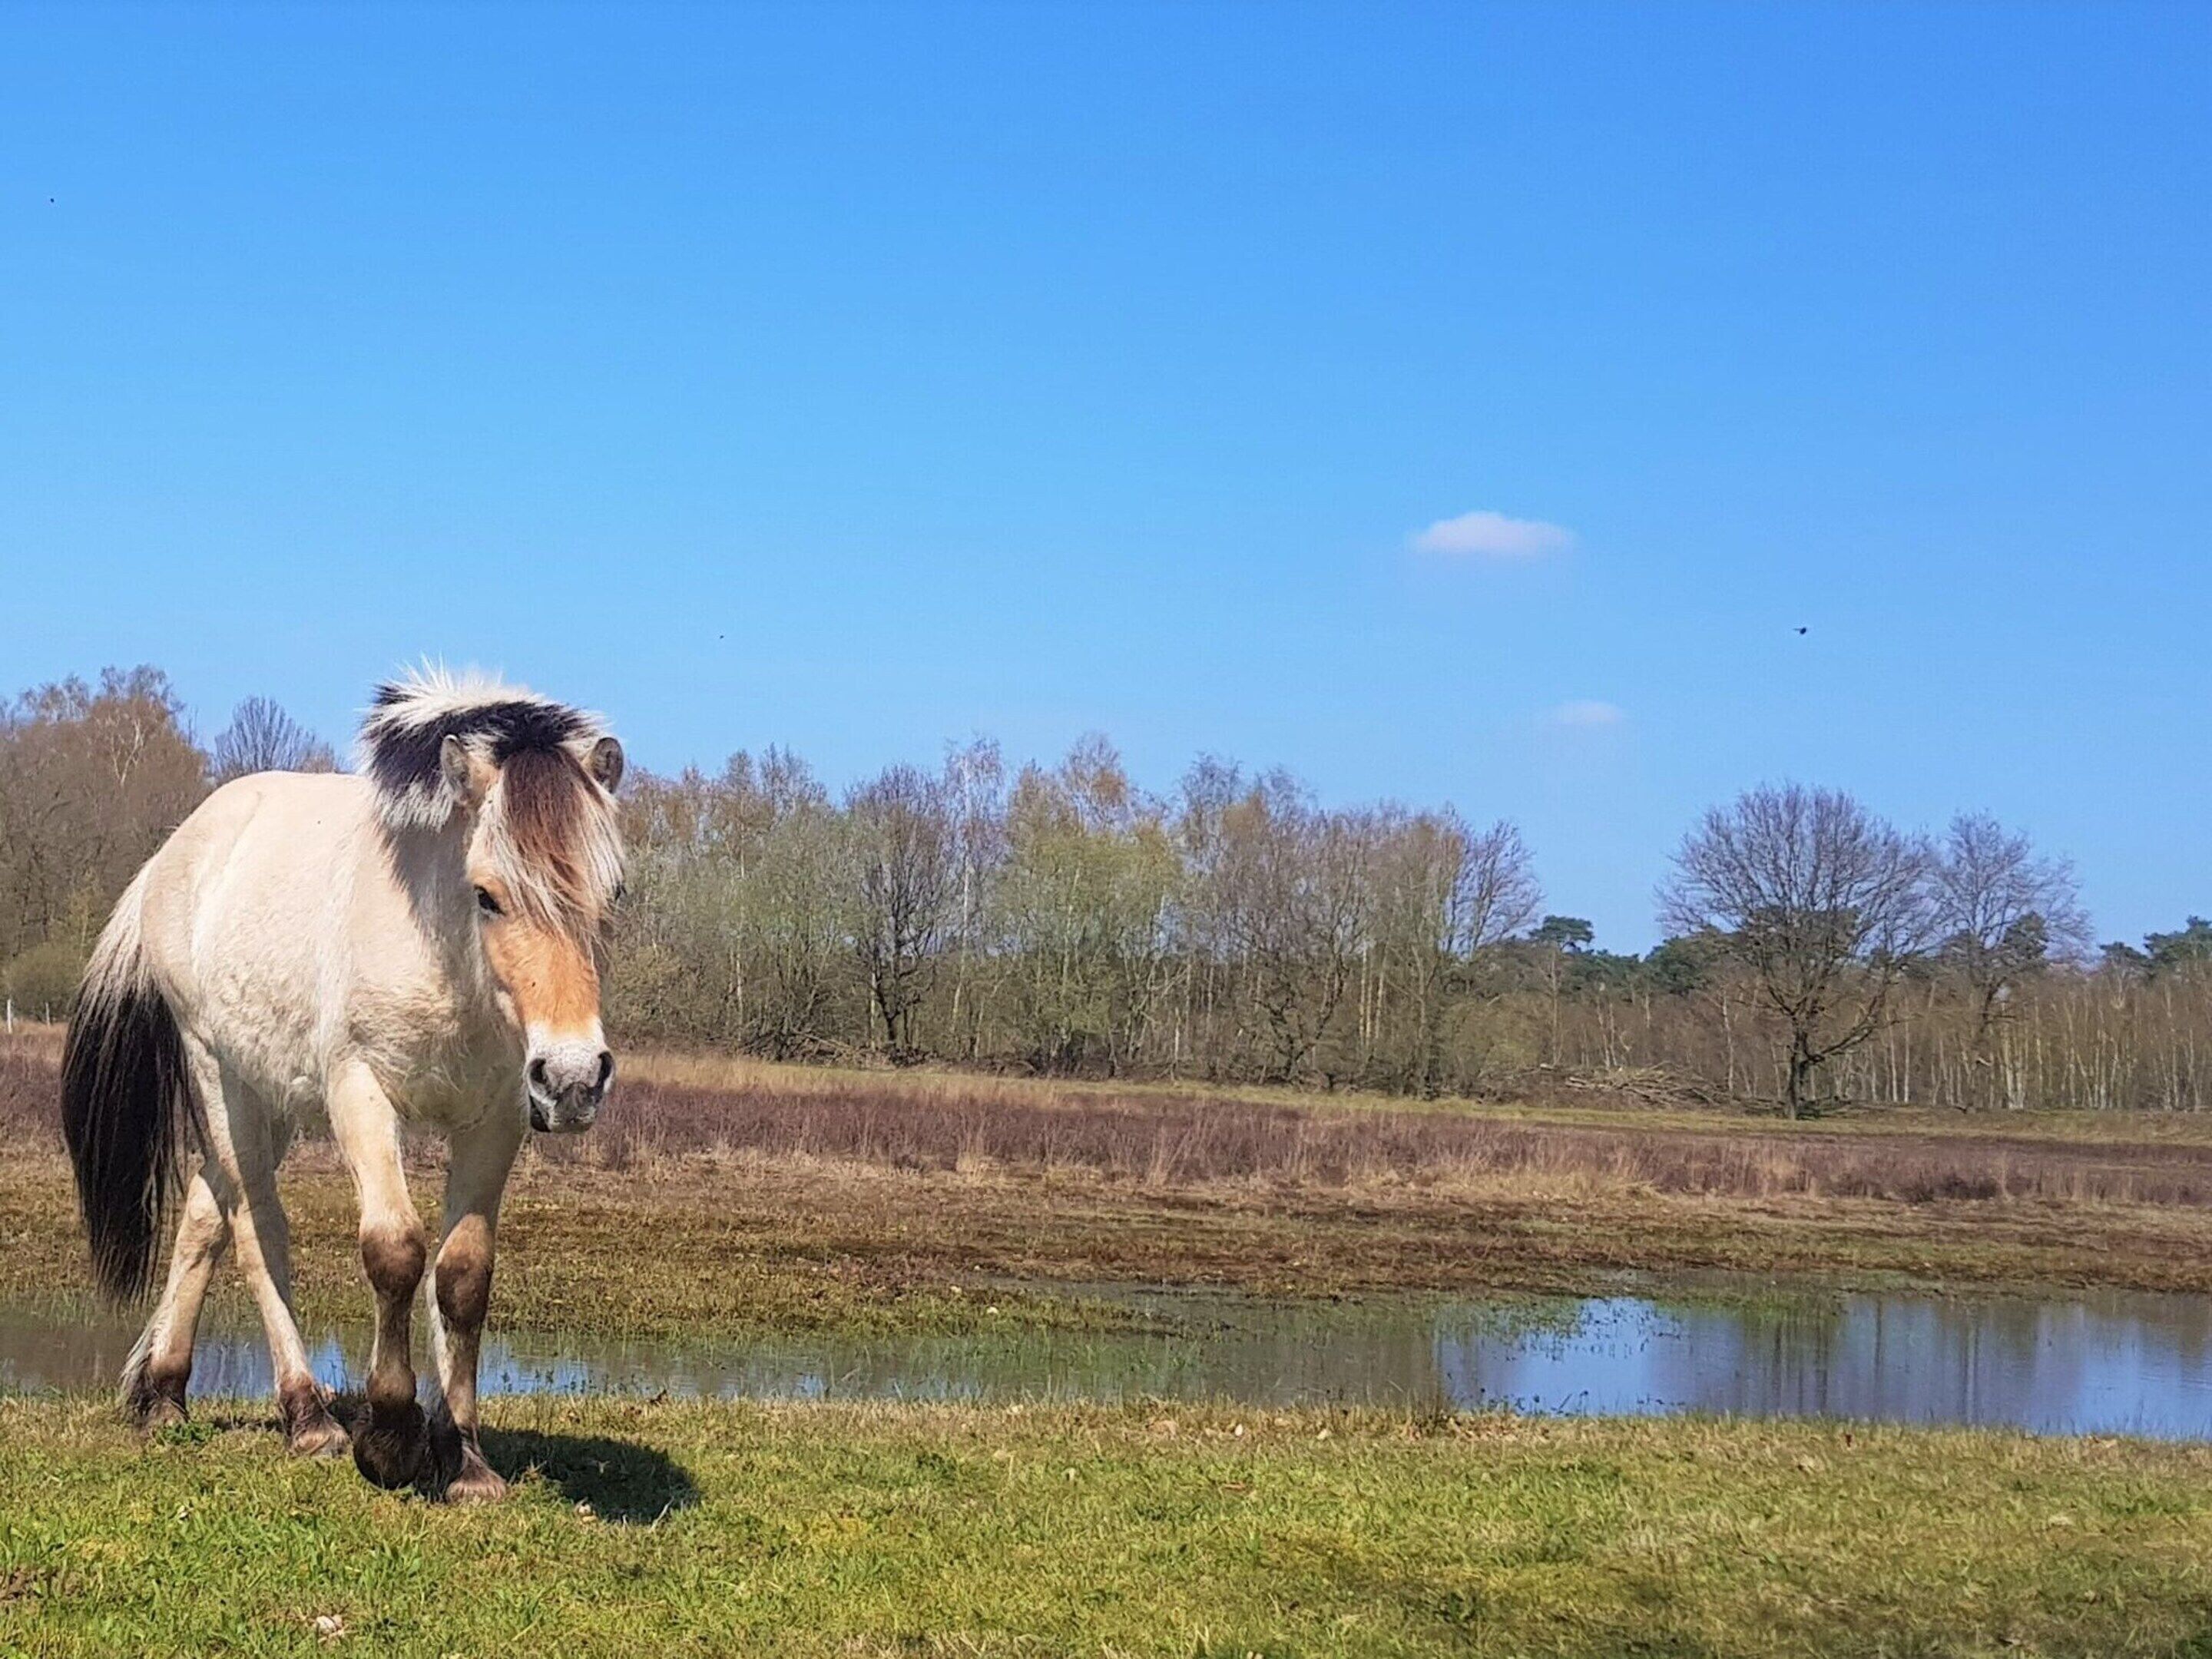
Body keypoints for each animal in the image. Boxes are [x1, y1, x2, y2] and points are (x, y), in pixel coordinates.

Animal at [60, 670, 626, 1501]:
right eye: (487, 895)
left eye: (613, 897)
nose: (576, 1076)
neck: (441, 955)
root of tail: (175, 852)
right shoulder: (361, 1095)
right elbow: (394, 1251)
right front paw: (389, 1439)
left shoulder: (495, 1119)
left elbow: (463, 1275)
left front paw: (465, 1458)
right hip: (219, 1077)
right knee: (257, 1228)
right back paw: (307, 1416)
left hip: (269, 1098)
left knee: (205, 1213)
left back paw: (163, 1395)